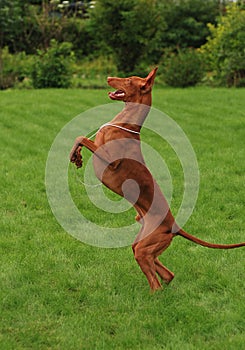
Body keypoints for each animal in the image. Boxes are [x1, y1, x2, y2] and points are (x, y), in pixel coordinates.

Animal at [70, 67, 244, 290]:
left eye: (128, 80)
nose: (108, 77)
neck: (124, 123)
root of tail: (174, 226)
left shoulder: (110, 161)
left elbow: (81, 137)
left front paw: (75, 153)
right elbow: (80, 139)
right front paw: (76, 156)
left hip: (144, 248)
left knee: (157, 283)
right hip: (142, 244)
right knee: (167, 274)